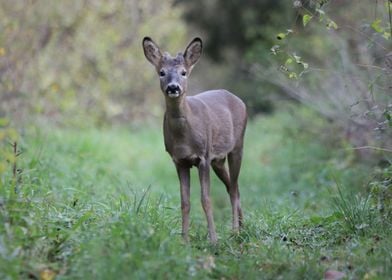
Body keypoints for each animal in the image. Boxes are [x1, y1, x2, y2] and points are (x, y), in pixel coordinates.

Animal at [142, 37, 247, 243]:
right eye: (162, 72)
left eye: (184, 72)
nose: (173, 87)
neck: (184, 138)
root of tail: (238, 99)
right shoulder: (179, 161)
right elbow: (185, 201)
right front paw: (184, 240)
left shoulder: (203, 157)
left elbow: (206, 200)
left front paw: (213, 240)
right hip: (218, 160)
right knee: (233, 187)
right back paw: (243, 227)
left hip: (237, 147)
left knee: (234, 188)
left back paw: (235, 231)